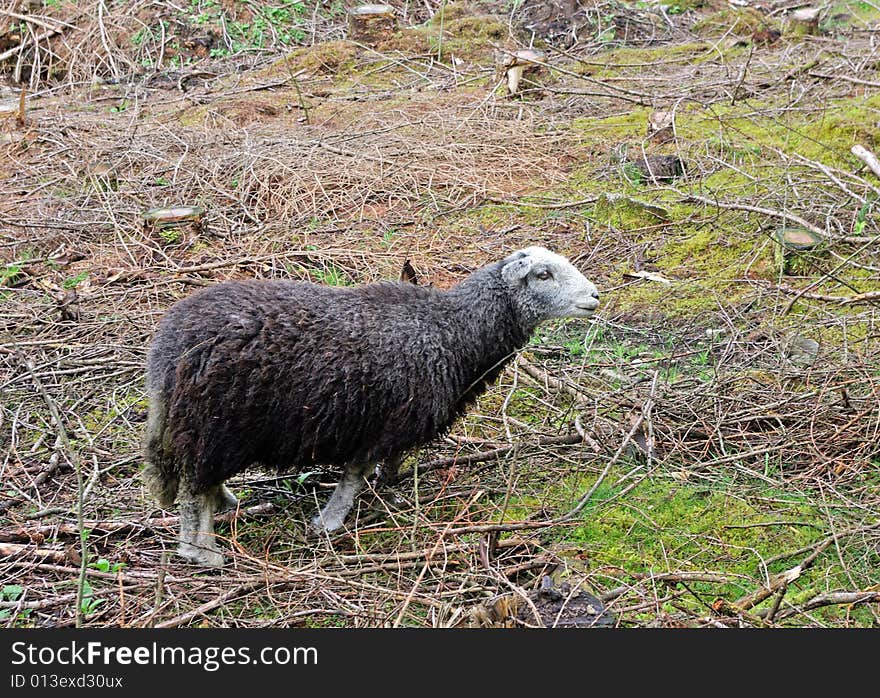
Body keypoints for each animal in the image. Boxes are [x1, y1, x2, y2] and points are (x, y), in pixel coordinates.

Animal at [144, 245, 600, 564]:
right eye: (543, 273)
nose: (594, 296)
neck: (452, 331)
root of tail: (171, 346)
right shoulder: (383, 421)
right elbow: (356, 472)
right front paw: (329, 522)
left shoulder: (400, 420)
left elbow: (388, 463)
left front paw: (389, 491)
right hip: (213, 423)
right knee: (192, 490)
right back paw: (201, 551)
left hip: (206, 426)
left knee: (201, 480)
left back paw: (227, 504)